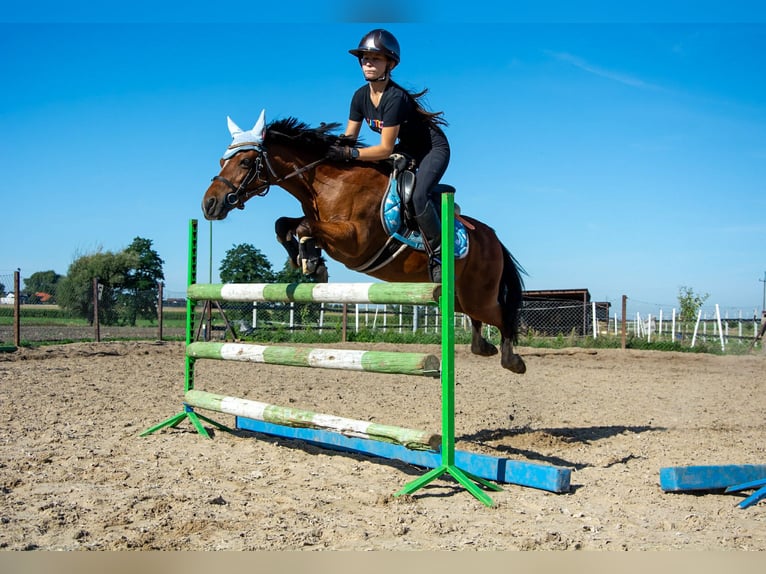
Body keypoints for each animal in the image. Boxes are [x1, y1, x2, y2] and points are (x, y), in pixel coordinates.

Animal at [202, 110, 527, 374]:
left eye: (246, 162)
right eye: (221, 161)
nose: (209, 204)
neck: (327, 183)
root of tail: (493, 237)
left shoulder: (355, 242)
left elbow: (305, 226)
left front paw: (312, 261)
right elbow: (283, 224)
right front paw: (307, 259)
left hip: (478, 295)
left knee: (501, 315)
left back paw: (512, 360)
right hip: (459, 296)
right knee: (477, 318)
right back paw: (484, 347)